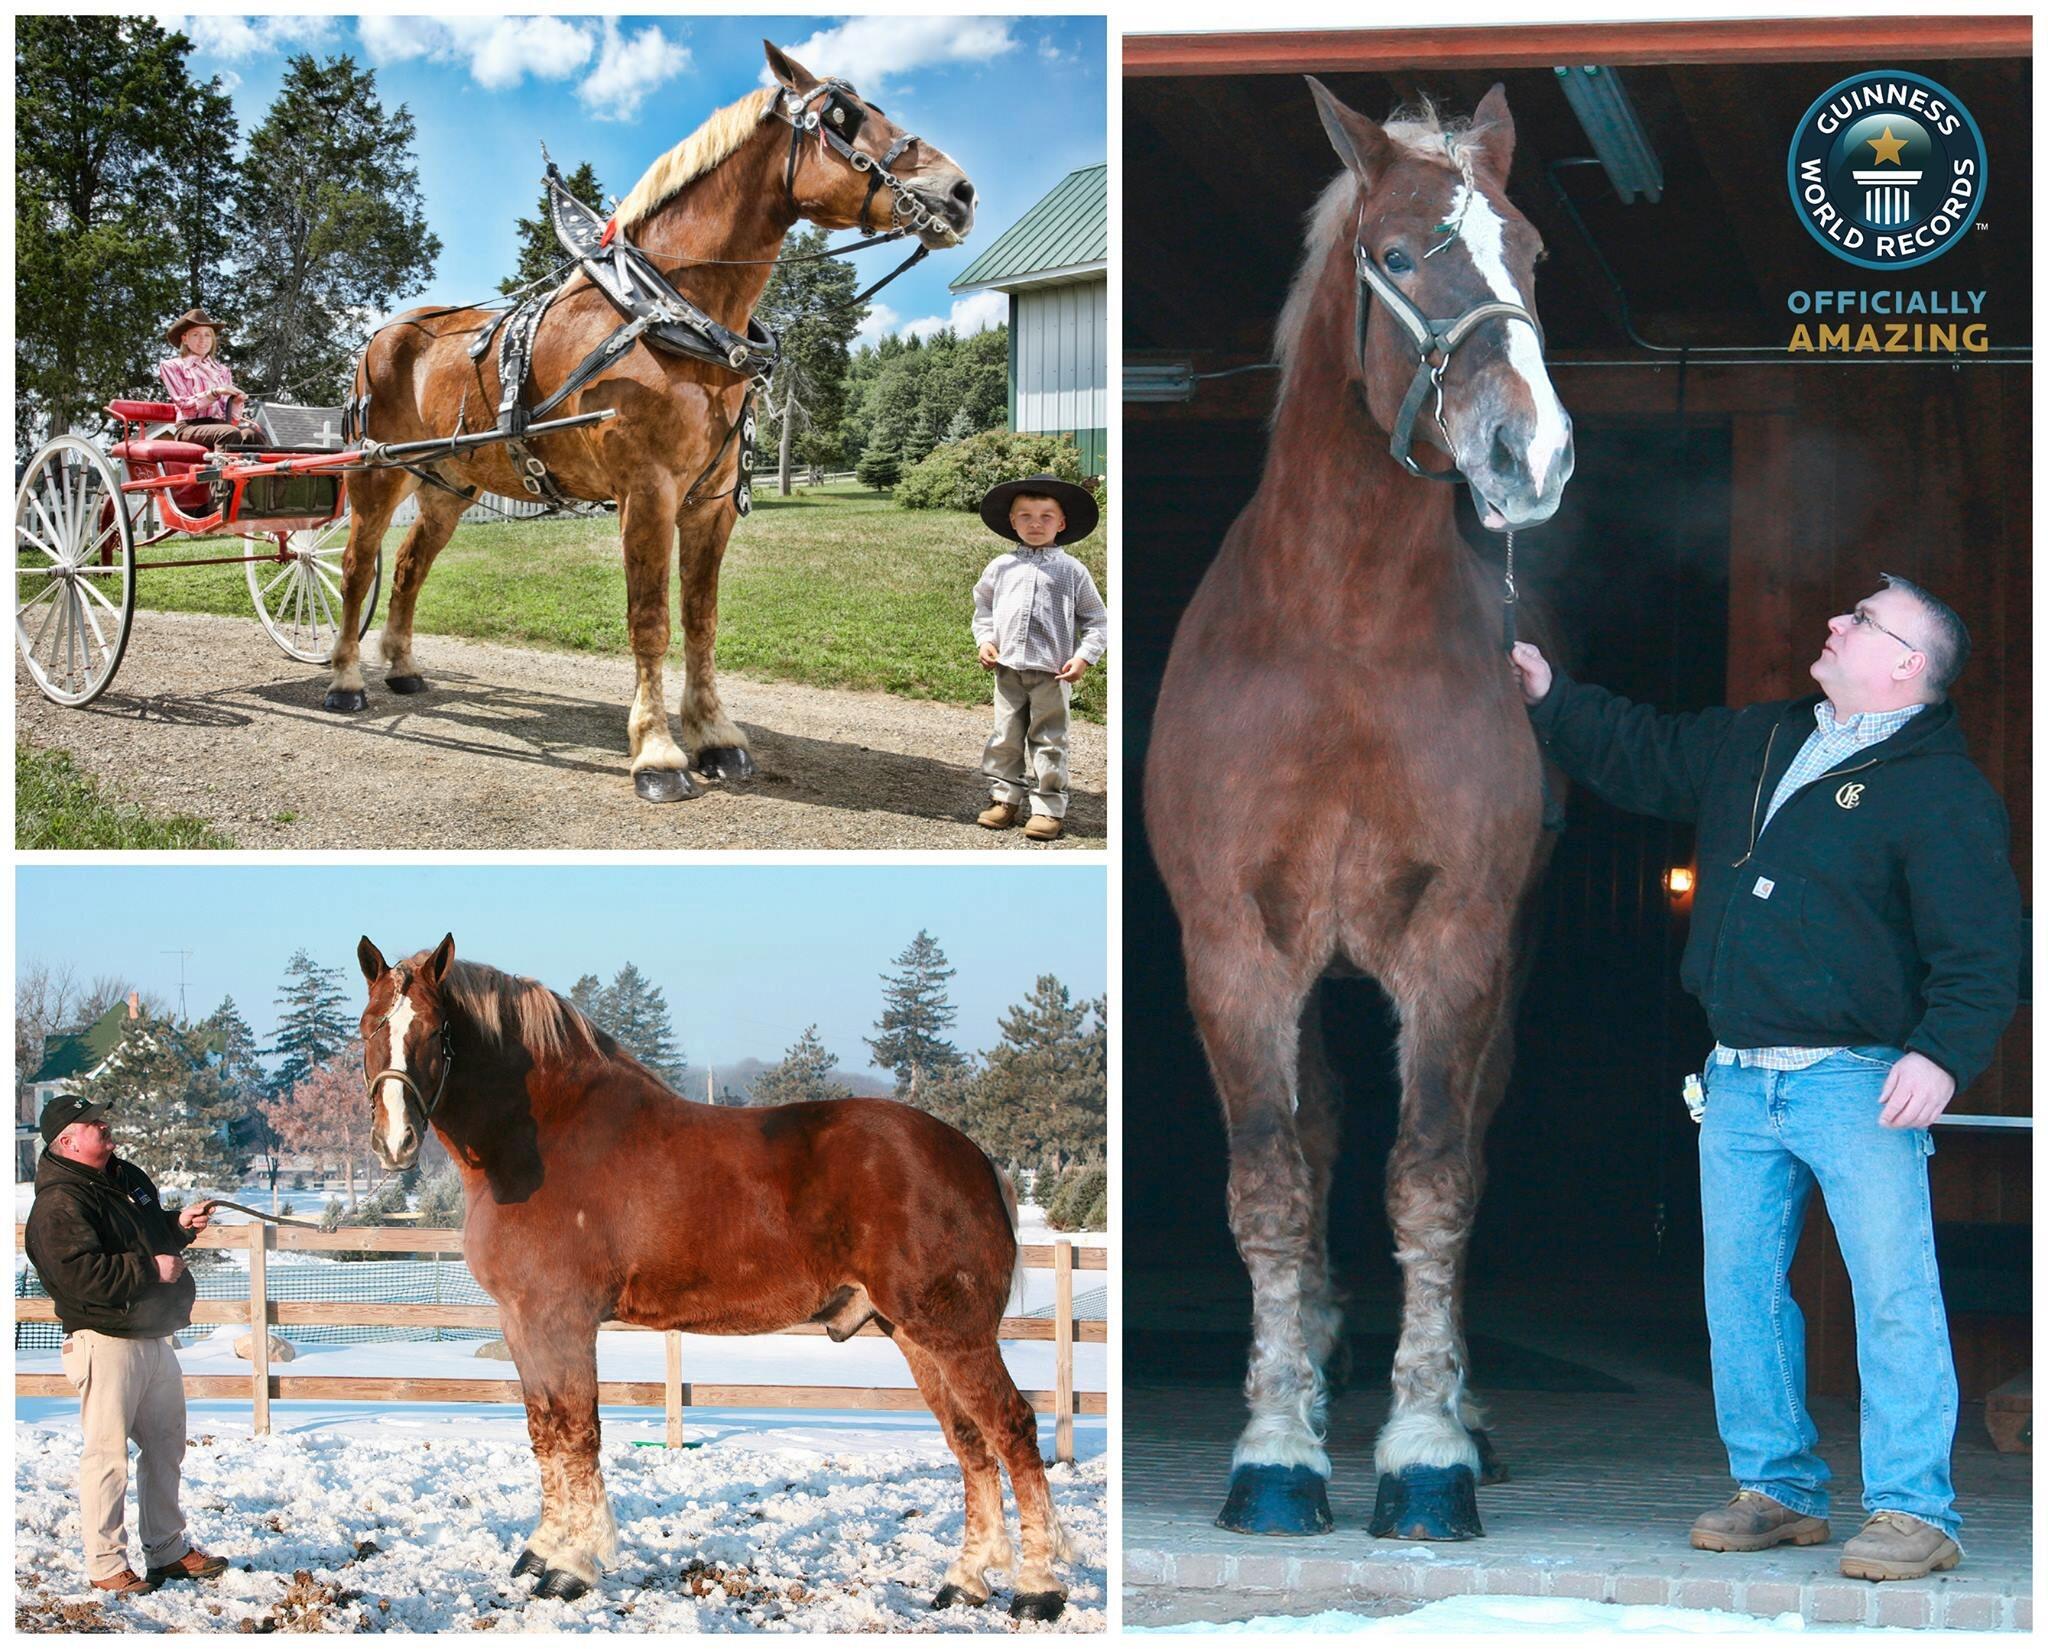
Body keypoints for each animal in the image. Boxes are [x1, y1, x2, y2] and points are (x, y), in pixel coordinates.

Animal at [325, 41, 974, 802]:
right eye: (842, 116)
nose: (962, 192)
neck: (671, 313)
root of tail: (383, 332)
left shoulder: (711, 502)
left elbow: (701, 619)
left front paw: (715, 734)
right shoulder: (648, 490)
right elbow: (650, 619)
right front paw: (658, 751)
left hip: (448, 483)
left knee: (407, 566)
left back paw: (400, 666)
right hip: (377, 471)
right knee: (356, 565)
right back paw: (345, 679)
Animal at [356, 934, 1073, 1614]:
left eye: (434, 1032)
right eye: (367, 1027)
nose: (395, 1142)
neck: (543, 1140)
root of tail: (973, 1156)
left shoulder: (562, 1319)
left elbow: (577, 1431)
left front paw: (573, 1566)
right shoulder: (521, 1320)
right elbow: (544, 1430)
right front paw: (543, 1550)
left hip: (956, 1332)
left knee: (1013, 1428)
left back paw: (1038, 1587)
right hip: (916, 1334)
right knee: (971, 1442)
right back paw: (966, 1581)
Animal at [1155, 83, 1564, 1540]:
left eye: (1530, 253)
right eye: (1395, 256)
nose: (1530, 452)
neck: (1340, 633)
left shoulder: (1455, 948)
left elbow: (1432, 1178)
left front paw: (1426, 1447)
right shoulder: (1234, 951)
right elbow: (1273, 1182)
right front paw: (1277, 1444)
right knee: (1319, 1137)